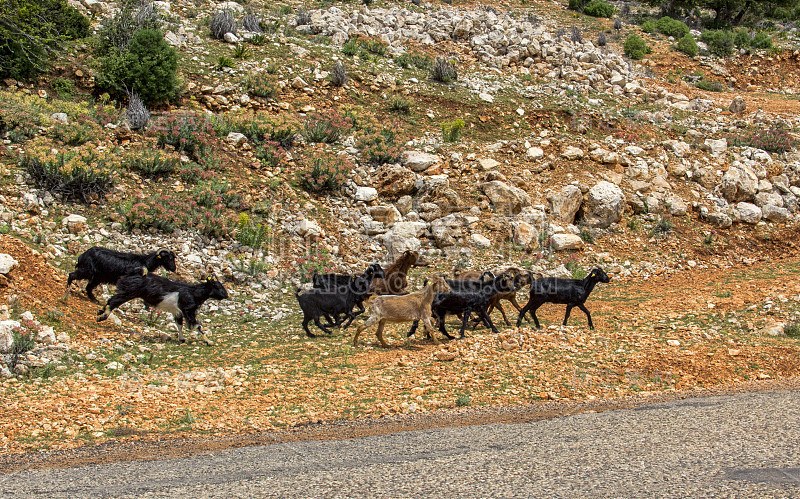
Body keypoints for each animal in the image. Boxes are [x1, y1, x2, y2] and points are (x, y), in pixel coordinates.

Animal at [97, 272, 228, 346]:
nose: (226, 295)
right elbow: (197, 326)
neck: (193, 293)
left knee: (111, 299)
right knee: (114, 301)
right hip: (129, 292)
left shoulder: (178, 312)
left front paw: (182, 339)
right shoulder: (187, 310)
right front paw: (208, 341)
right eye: (216, 286)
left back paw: (100, 312)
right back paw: (102, 316)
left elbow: (179, 325)